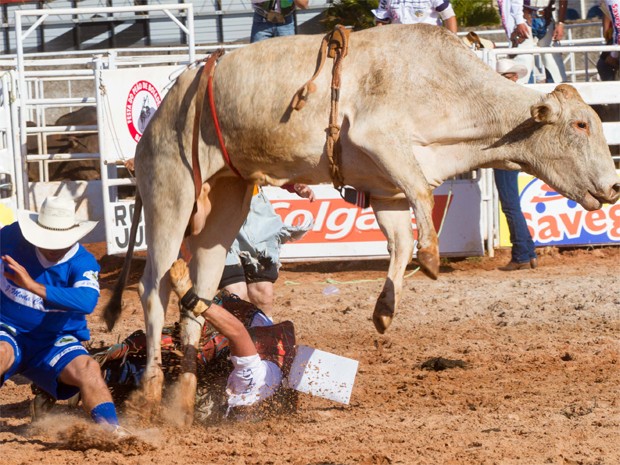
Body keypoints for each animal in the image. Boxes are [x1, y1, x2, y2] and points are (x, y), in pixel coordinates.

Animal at [104, 23, 620, 422]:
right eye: (579, 125)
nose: (614, 187)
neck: (445, 86)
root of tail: (160, 114)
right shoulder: (383, 141)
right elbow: (421, 196)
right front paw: (433, 258)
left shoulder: (386, 189)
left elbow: (401, 240)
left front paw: (385, 309)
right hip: (171, 190)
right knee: (153, 288)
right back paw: (151, 388)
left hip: (225, 203)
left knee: (199, 293)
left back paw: (185, 398)